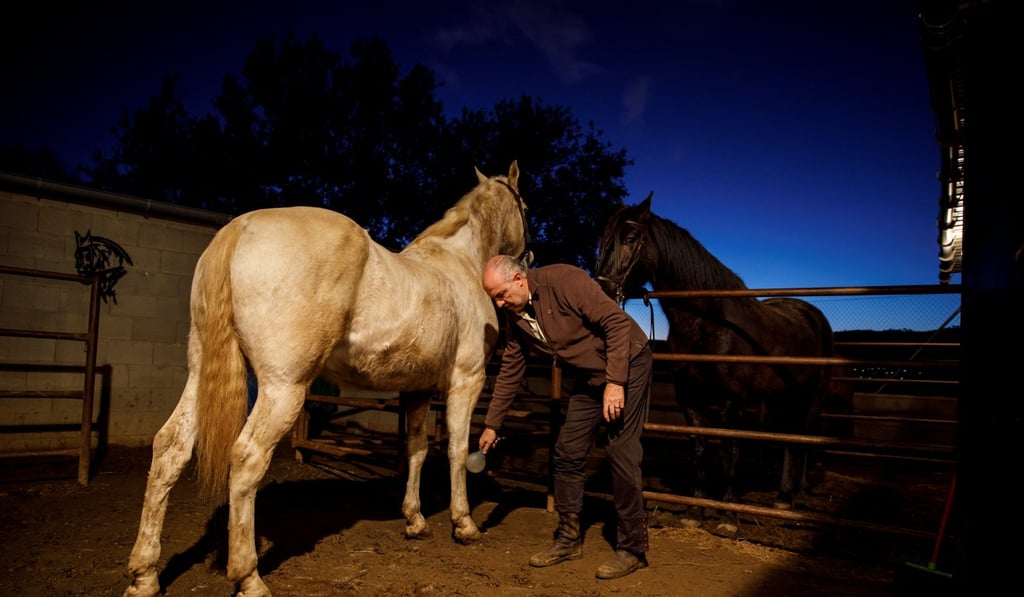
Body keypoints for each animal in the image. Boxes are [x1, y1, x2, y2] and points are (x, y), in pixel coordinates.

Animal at [123, 162, 531, 597]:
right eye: (524, 207)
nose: (528, 256)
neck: (458, 263)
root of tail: (239, 228)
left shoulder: (417, 388)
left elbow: (417, 449)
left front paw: (414, 520)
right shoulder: (466, 380)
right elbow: (456, 450)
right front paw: (464, 523)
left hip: (200, 374)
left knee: (170, 449)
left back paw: (144, 576)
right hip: (283, 387)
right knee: (247, 458)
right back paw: (249, 577)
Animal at [594, 192, 834, 537]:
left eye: (629, 238)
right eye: (603, 240)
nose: (601, 290)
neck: (708, 323)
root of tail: (812, 314)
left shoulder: (731, 404)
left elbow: (729, 450)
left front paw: (728, 516)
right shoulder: (690, 401)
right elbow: (699, 449)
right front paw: (696, 511)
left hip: (812, 397)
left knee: (804, 436)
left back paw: (798, 496)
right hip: (782, 398)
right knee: (789, 438)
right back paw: (783, 496)